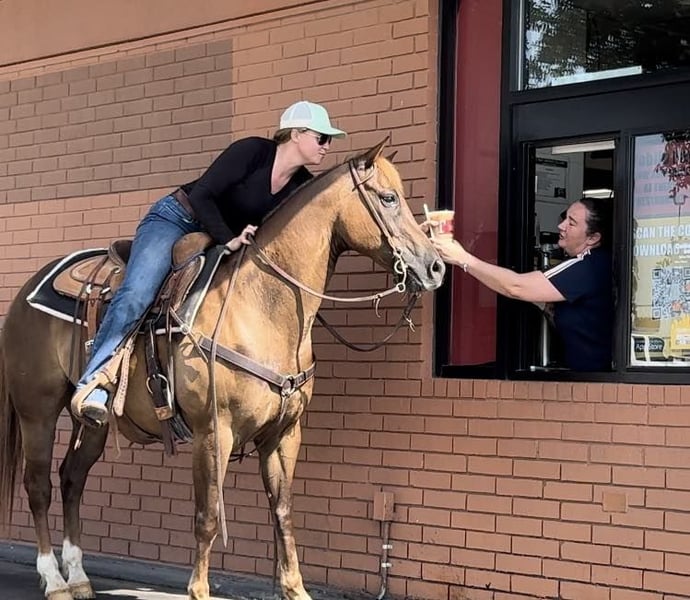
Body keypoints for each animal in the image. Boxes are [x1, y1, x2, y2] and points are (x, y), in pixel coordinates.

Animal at [0, 139, 445, 600]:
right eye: (389, 198)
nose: (435, 267)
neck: (261, 304)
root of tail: (25, 291)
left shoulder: (284, 434)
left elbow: (282, 510)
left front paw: (294, 587)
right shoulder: (215, 431)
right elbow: (209, 514)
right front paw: (198, 590)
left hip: (93, 423)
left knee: (72, 478)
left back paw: (79, 577)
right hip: (37, 411)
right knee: (39, 486)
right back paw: (54, 579)